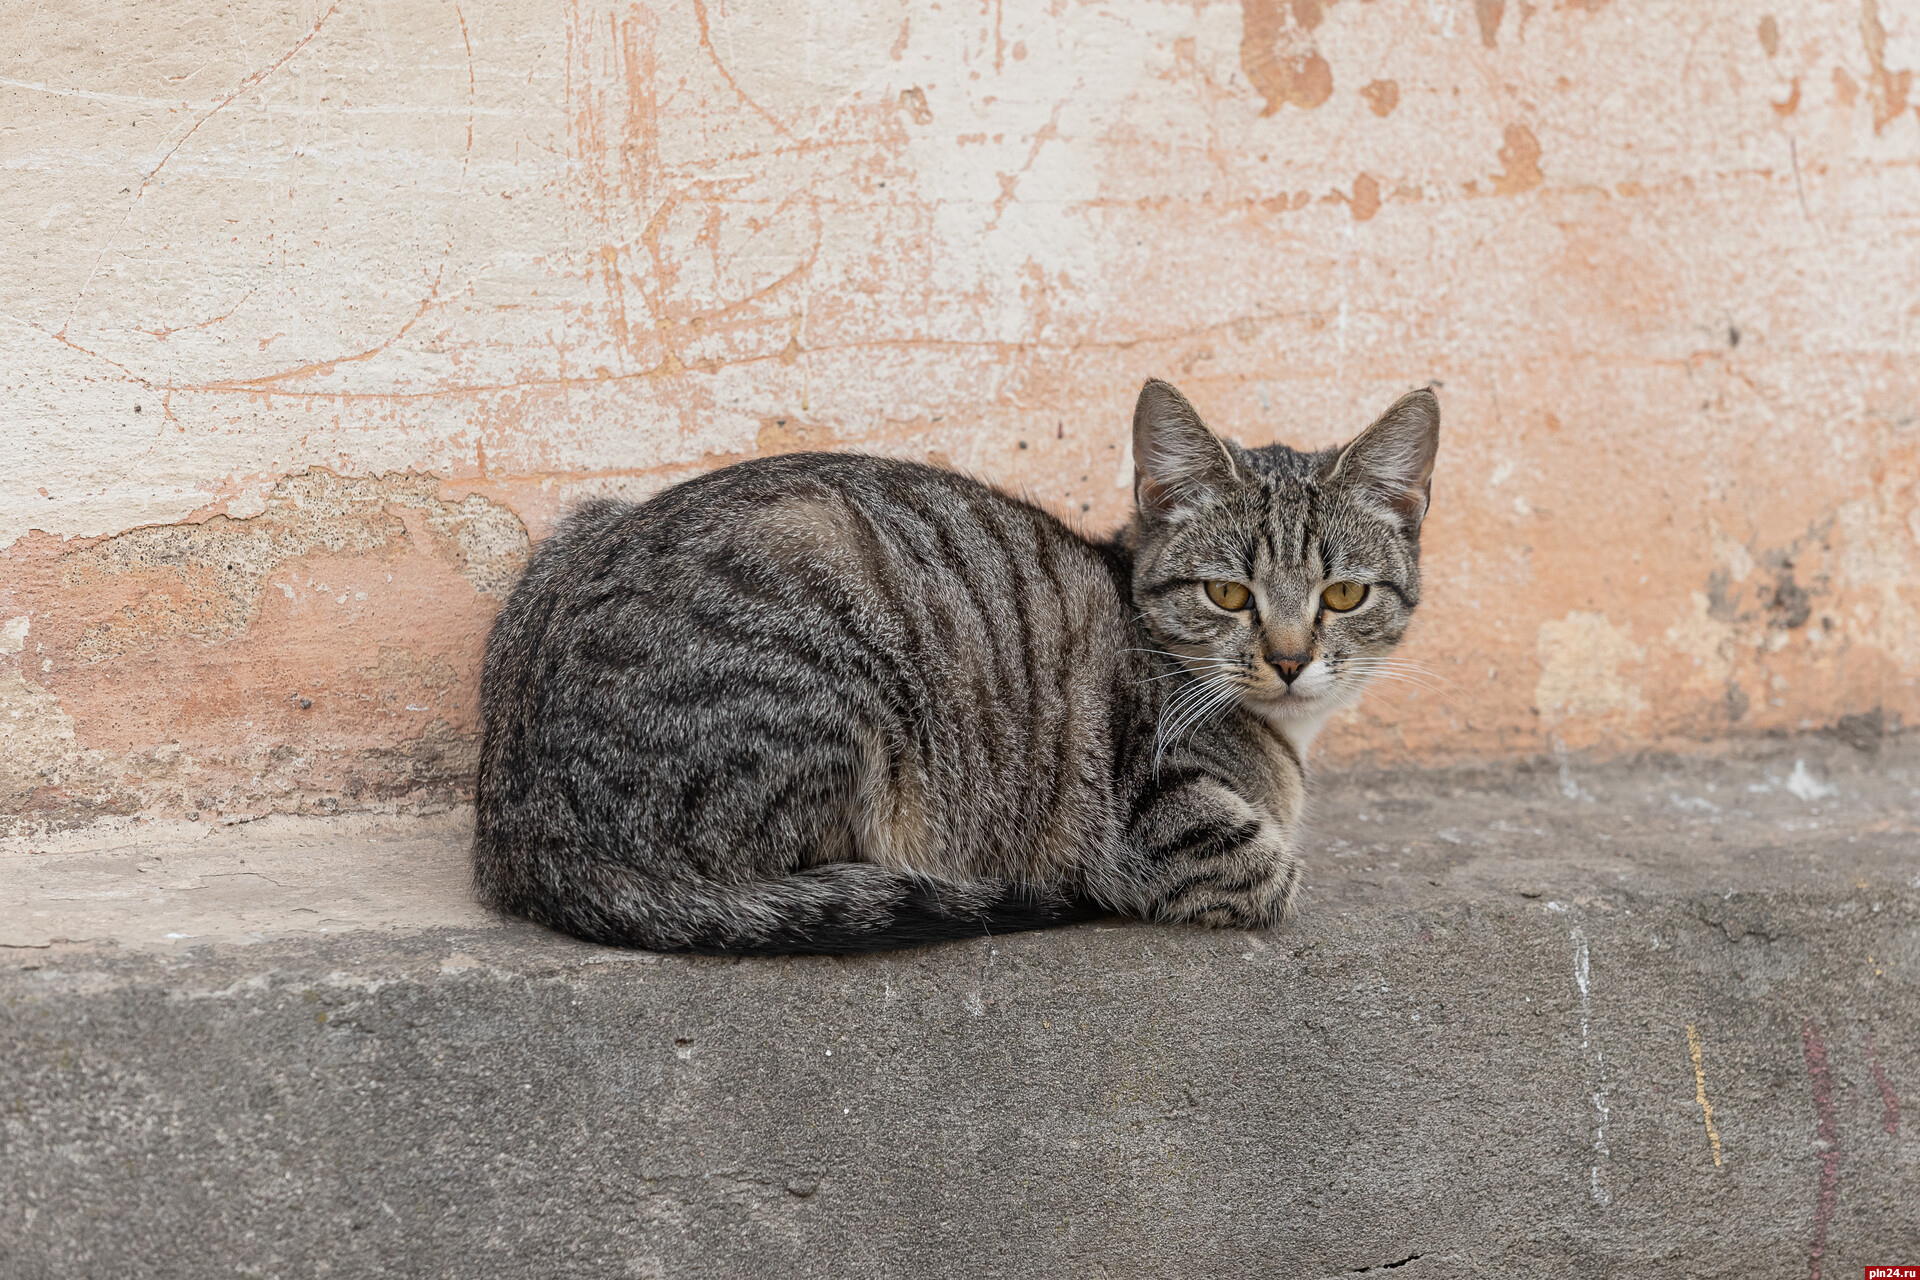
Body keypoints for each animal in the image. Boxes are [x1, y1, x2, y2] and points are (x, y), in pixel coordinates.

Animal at [476, 378, 1443, 951]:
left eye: (1344, 595)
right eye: (1228, 594)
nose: (1289, 659)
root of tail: (518, 828)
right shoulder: (1151, 815)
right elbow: (1272, 874)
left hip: (580, 526)